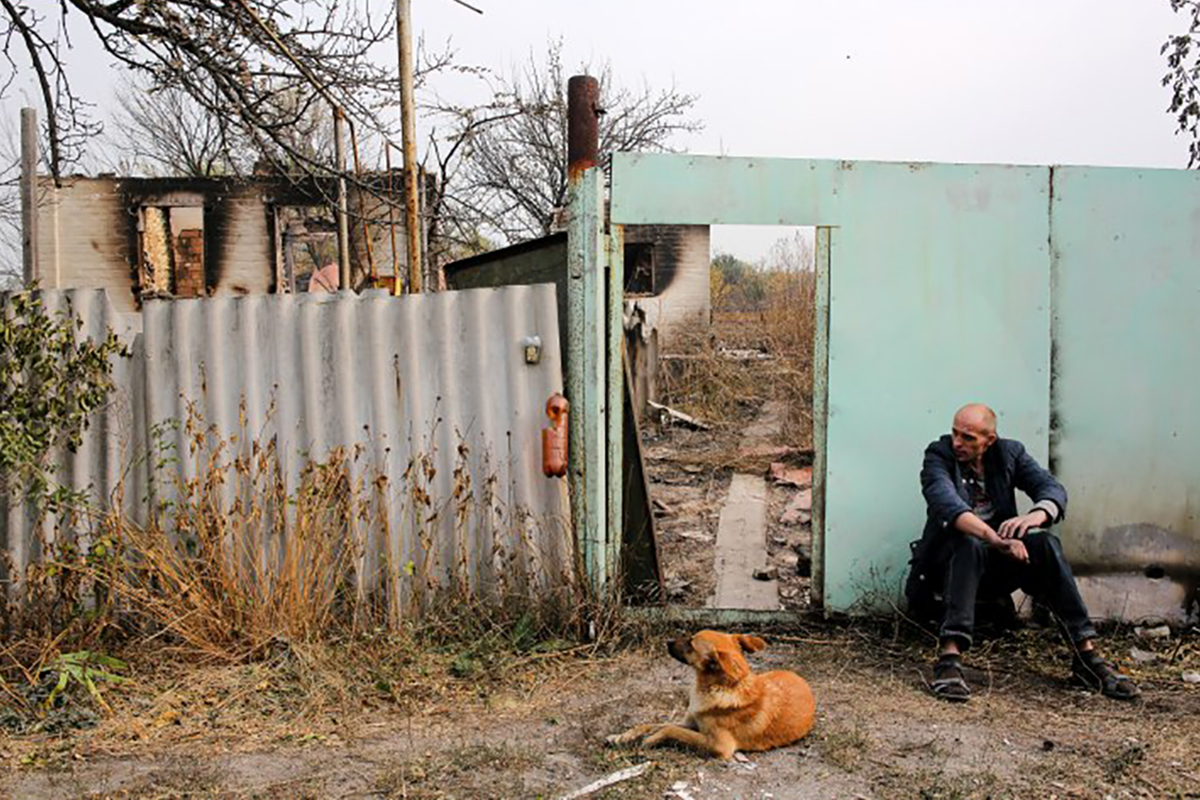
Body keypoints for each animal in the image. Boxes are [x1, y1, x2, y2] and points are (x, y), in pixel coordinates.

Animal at [609, 628, 816, 762]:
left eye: (691, 643)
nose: (667, 642)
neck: (717, 687)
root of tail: (802, 681)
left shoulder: (718, 745)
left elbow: (671, 730)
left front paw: (651, 739)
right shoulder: (690, 722)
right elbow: (650, 724)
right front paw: (623, 736)